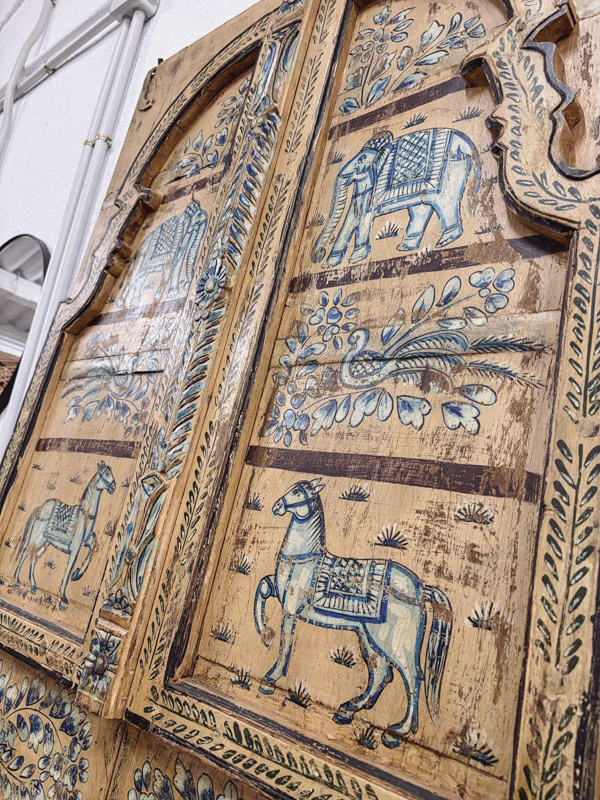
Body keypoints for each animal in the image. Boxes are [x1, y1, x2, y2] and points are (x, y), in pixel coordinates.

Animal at [14, 461, 116, 609]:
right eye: (107, 473)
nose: (113, 487)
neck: (84, 517)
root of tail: (41, 508)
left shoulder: (87, 542)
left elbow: (91, 550)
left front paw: (77, 574)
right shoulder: (75, 549)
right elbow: (68, 570)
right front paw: (63, 598)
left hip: (45, 543)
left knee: (33, 558)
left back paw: (33, 586)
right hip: (36, 539)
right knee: (26, 553)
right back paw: (16, 580)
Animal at [254, 478, 452, 746]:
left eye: (297, 492)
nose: (276, 507)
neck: (305, 560)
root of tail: (420, 589)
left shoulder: (290, 609)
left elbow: (285, 644)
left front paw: (270, 678)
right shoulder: (279, 593)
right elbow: (262, 589)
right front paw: (265, 634)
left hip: (395, 643)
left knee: (412, 677)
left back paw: (397, 732)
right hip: (368, 636)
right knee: (380, 672)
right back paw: (349, 710)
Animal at [313, 128, 481, 266]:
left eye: (361, 160)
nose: (318, 255)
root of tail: (465, 142)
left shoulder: (373, 187)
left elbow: (364, 218)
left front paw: (355, 259)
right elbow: (351, 219)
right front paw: (329, 265)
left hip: (450, 168)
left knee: (444, 203)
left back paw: (445, 241)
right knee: (420, 210)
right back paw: (404, 247)